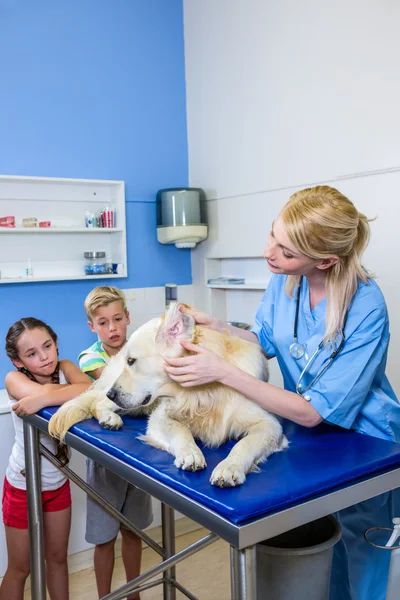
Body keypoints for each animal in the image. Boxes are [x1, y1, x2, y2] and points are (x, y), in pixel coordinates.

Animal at [49, 302, 288, 486]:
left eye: (132, 361)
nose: (112, 394)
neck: (202, 393)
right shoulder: (160, 416)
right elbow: (180, 429)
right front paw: (191, 453)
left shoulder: (269, 425)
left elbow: (245, 443)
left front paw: (229, 467)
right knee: (96, 403)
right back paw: (109, 418)